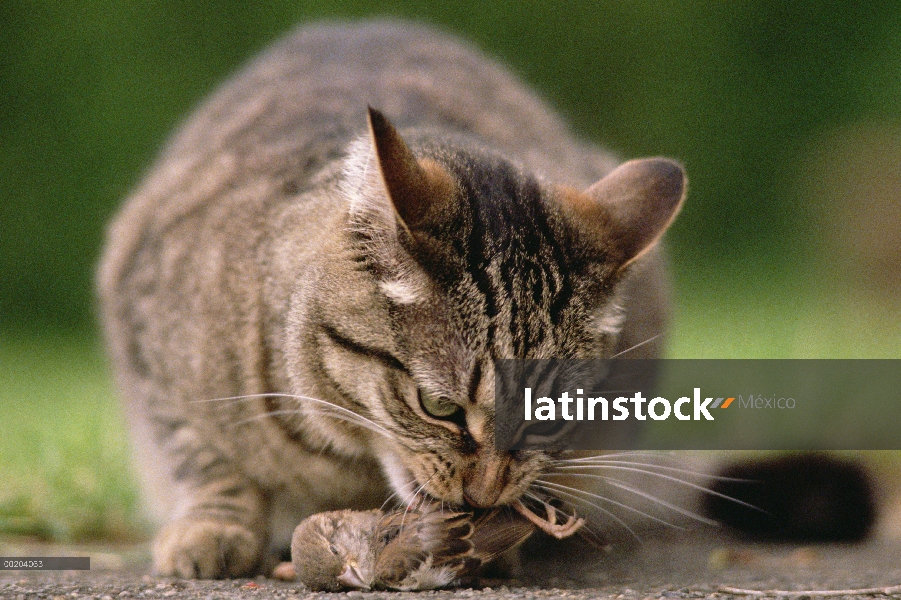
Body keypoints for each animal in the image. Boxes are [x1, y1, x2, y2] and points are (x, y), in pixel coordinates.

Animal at [95, 19, 684, 580]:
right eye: (439, 406)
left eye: (549, 415)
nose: (485, 495)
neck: (348, 457)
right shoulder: (144, 323)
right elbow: (203, 456)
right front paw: (213, 528)